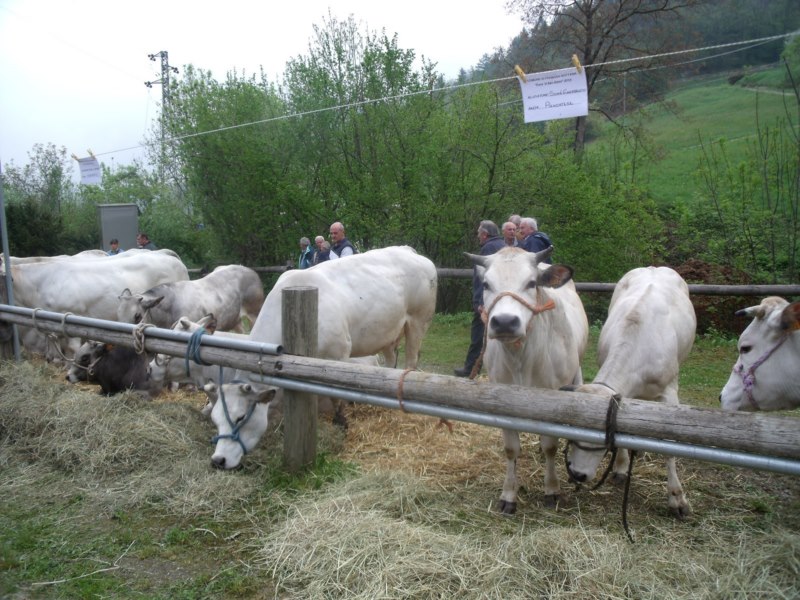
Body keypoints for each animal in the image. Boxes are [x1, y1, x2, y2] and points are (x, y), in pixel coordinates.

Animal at [205, 246, 432, 472]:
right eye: (215, 419)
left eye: (240, 417)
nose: (218, 460)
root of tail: (408, 250)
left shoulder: (337, 355)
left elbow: (335, 395)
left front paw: (341, 423)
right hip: (387, 335)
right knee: (391, 361)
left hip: (418, 321)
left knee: (411, 361)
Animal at [466, 246, 592, 512]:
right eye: (486, 284)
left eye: (532, 282)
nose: (504, 322)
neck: (521, 360)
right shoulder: (501, 400)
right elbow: (511, 449)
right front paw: (508, 495)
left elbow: (550, 447)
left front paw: (552, 490)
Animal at [564, 264, 692, 516]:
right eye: (571, 436)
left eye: (601, 441)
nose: (577, 474)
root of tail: (654, 267)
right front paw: (622, 468)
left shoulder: (669, 393)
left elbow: (670, 448)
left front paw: (676, 498)